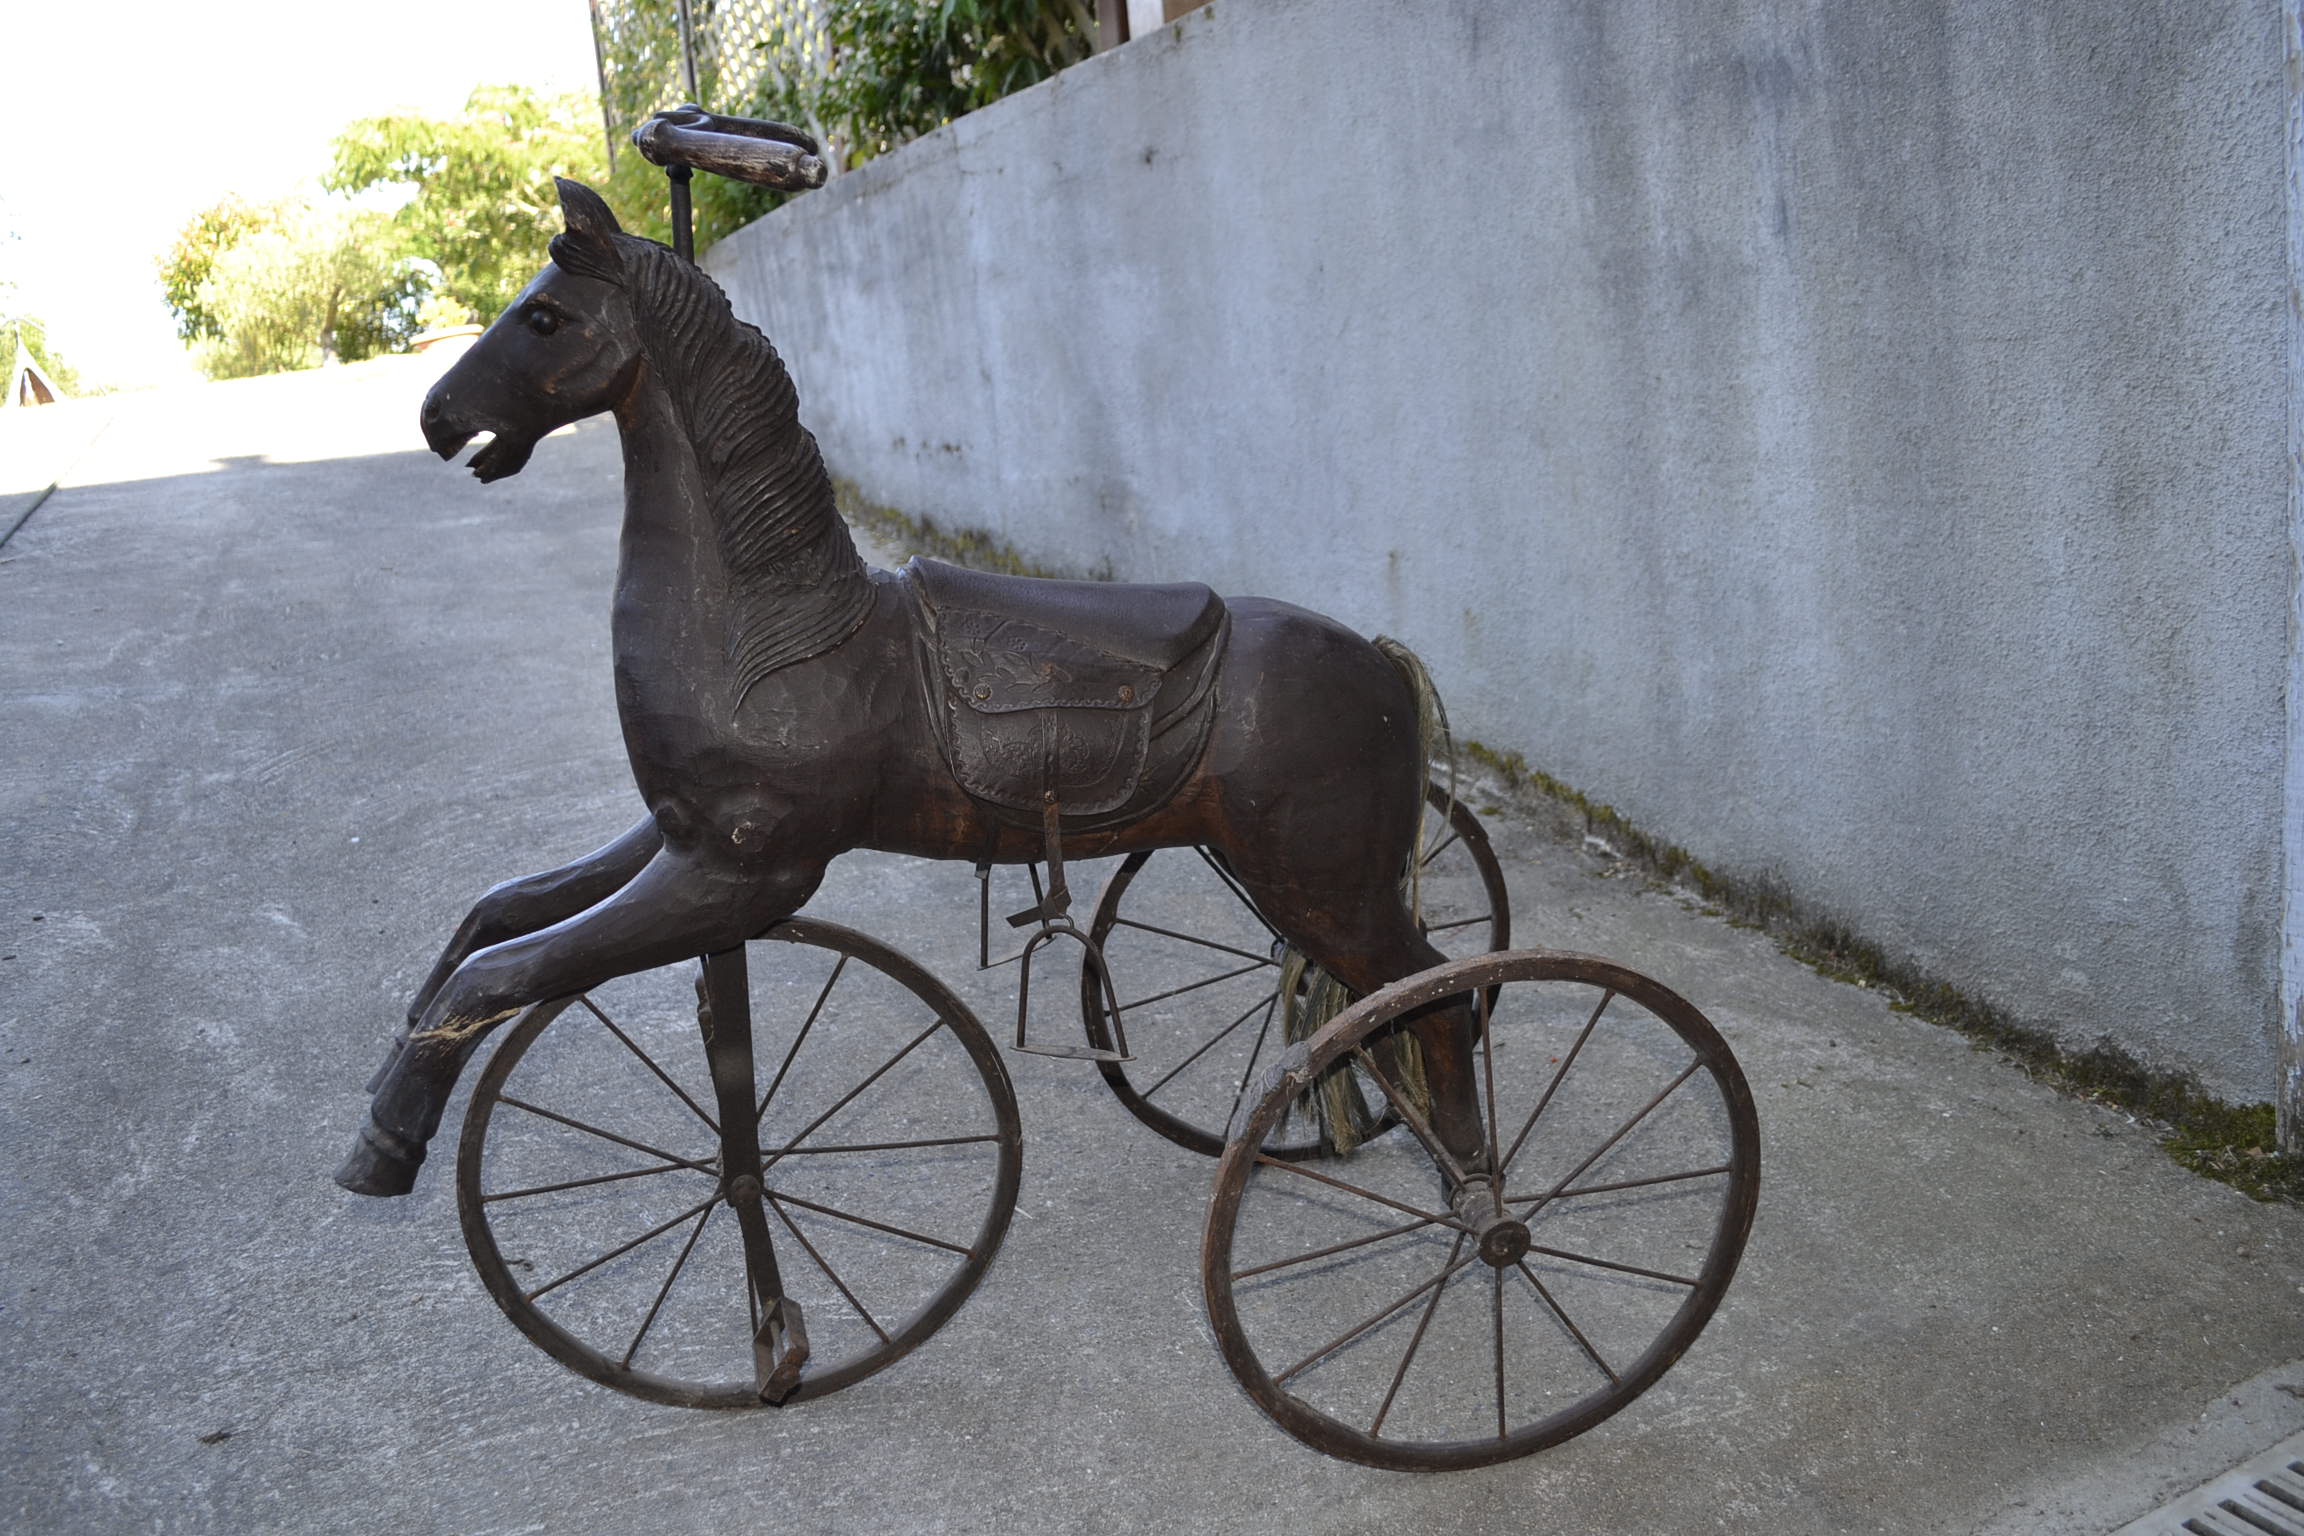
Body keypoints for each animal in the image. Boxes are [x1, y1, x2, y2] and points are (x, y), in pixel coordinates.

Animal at [335, 177, 1483, 1198]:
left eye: (544, 315)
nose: (437, 415)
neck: (770, 628)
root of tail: (1379, 657)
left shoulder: (747, 871)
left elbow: (503, 969)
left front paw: (384, 1144)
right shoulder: (678, 836)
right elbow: (496, 915)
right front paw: (390, 1073)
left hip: (1328, 883)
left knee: (1437, 997)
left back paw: (1470, 1176)